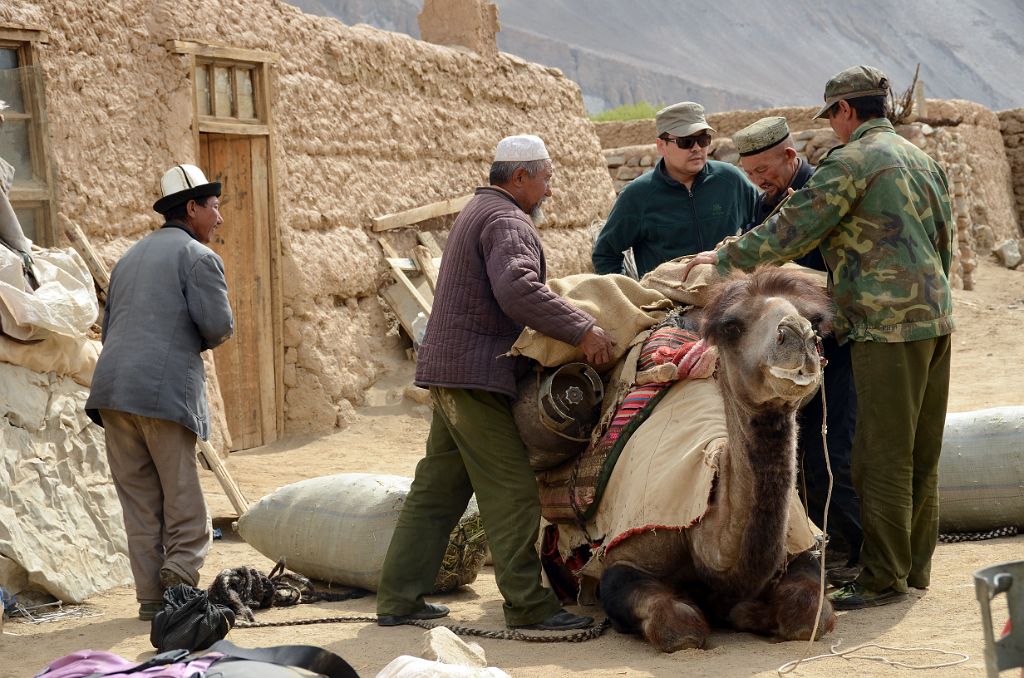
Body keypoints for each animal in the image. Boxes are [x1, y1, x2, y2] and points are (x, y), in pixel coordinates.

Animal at [598, 266, 835, 655]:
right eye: (732, 326)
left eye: (815, 322)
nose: (796, 334)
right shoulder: (625, 555)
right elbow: (679, 627)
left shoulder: (801, 547)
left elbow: (808, 614)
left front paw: (751, 612)